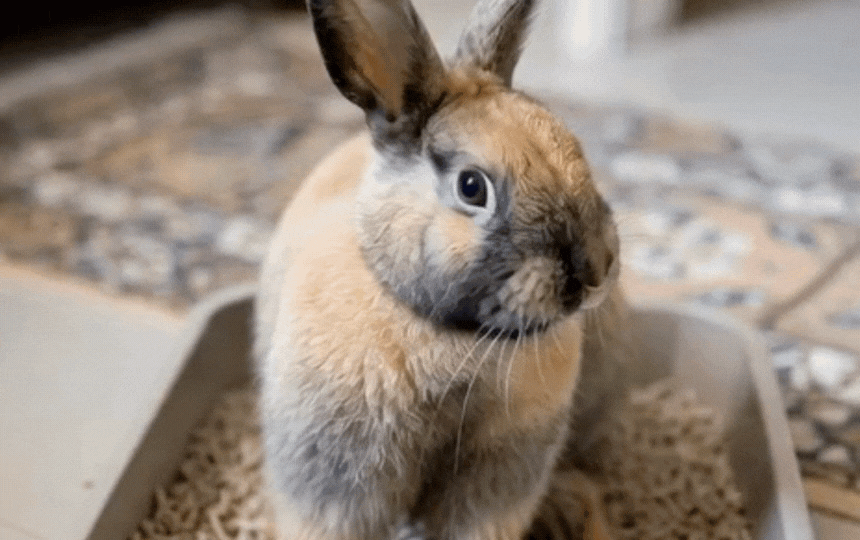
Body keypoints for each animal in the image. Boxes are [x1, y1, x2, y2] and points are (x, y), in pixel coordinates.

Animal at [254, 0, 632, 539]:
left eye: (574, 144)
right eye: (472, 187)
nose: (598, 266)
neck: (452, 333)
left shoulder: (498, 480)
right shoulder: (336, 484)